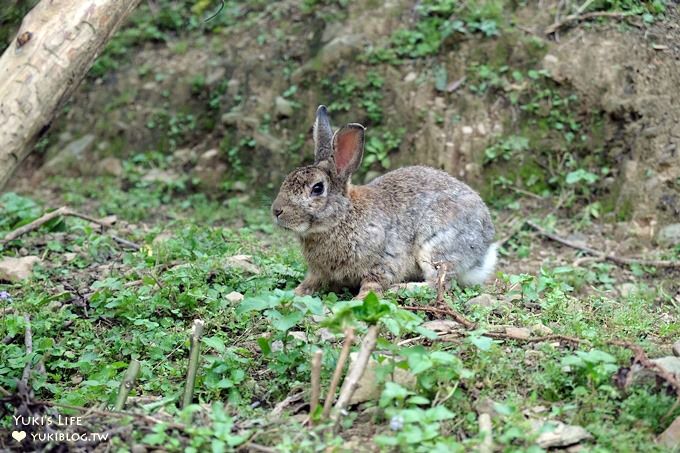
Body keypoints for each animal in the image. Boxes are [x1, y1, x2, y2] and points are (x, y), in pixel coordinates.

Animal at [270, 104, 500, 298]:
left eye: (317, 188)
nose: (276, 211)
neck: (342, 218)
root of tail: (485, 244)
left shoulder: (383, 262)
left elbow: (373, 285)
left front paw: (358, 301)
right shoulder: (318, 273)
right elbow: (310, 283)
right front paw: (293, 293)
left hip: (435, 246)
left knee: (440, 283)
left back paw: (401, 288)